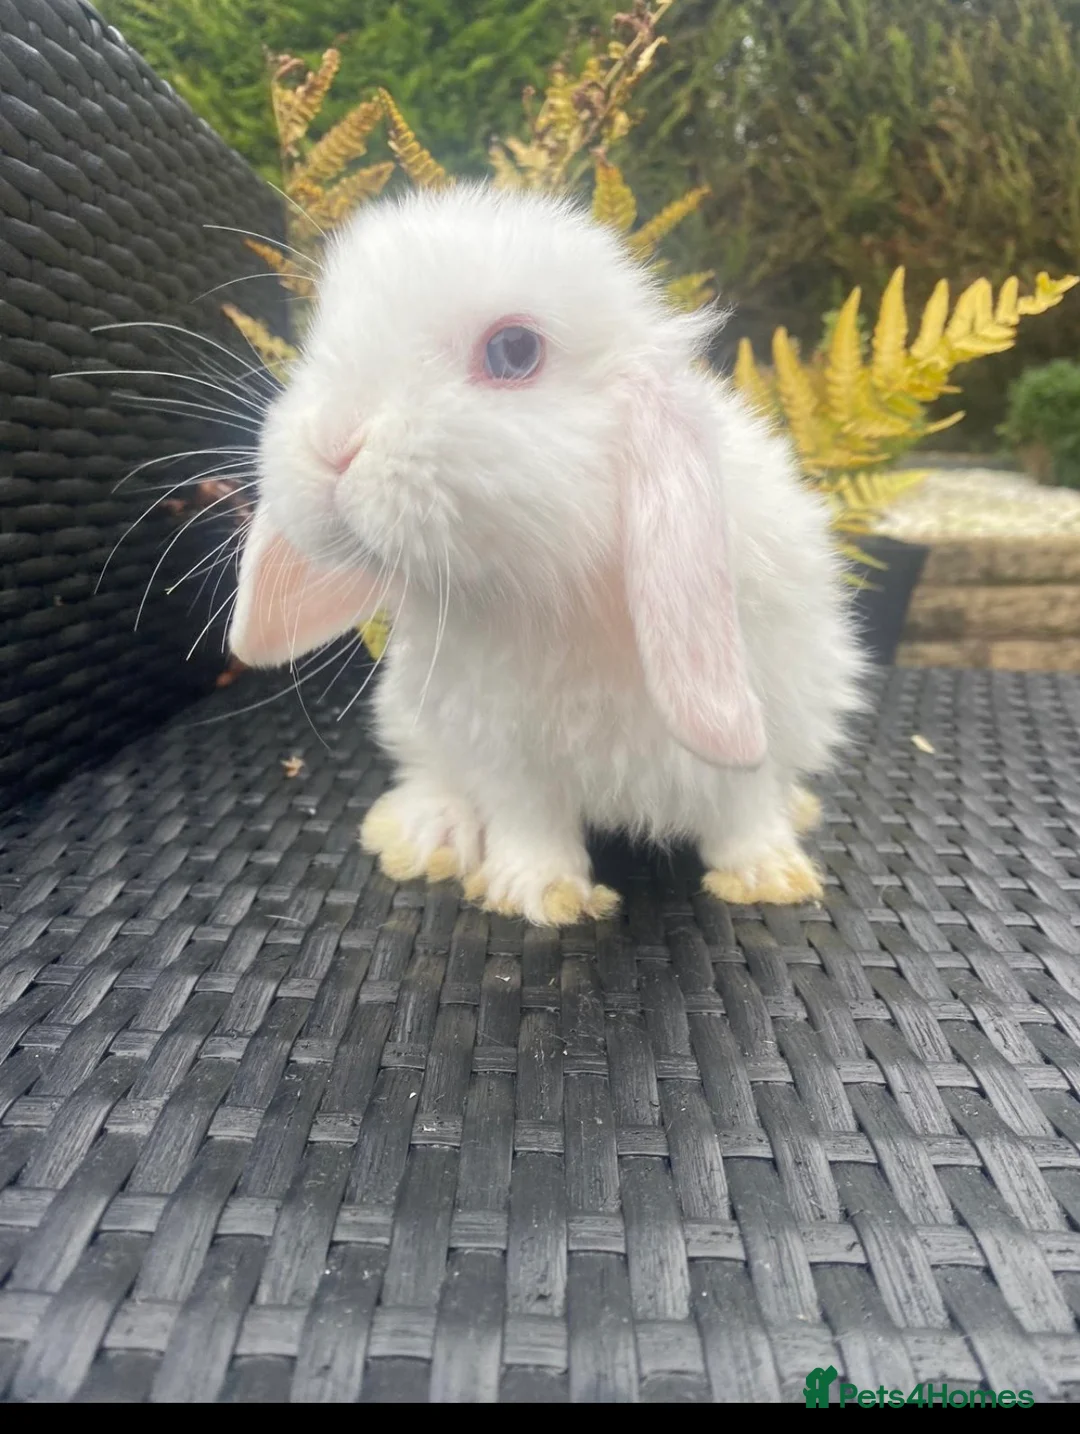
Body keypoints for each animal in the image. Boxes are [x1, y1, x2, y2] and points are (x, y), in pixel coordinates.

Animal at [228, 183, 867, 926]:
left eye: (513, 350)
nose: (331, 442)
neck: (560, 587)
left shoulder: (766, 710)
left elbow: (745, 807)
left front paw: (768, 876)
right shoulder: (505, 748)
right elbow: (528, 818)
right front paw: (537, 894)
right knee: (432, 775)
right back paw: (425, 838)